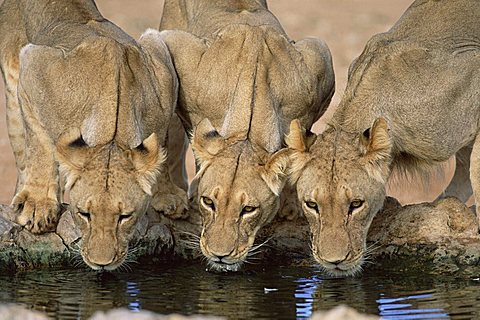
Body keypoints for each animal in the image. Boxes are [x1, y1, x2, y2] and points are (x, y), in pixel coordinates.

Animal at [0, 0, 188, 270]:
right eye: (84, 214)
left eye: (124, 216)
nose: (102, 264)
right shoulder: (33, 67)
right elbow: (40, 143)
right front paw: (39, 205)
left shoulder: (164, 76)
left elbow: (159, 148)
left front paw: (167, 195)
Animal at [159, 0, 336, 272]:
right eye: (209, 202)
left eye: (249, 209)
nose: (219, 255)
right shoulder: (173, 46)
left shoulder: (319, 61)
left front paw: (290, 203)